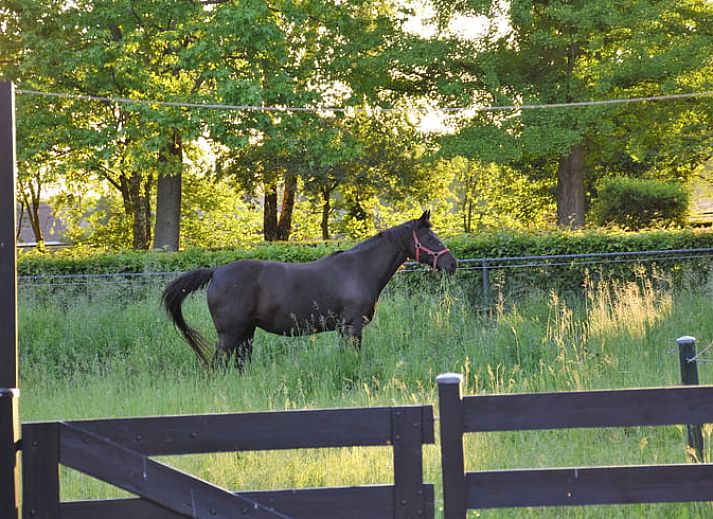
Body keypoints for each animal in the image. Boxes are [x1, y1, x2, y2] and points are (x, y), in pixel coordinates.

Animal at [163, 209, 456, 368]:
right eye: (430, 237)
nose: (452, 264)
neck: (359, 269)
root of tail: (216, 272)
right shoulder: (351, 327)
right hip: (229, 335)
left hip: (245, 334)